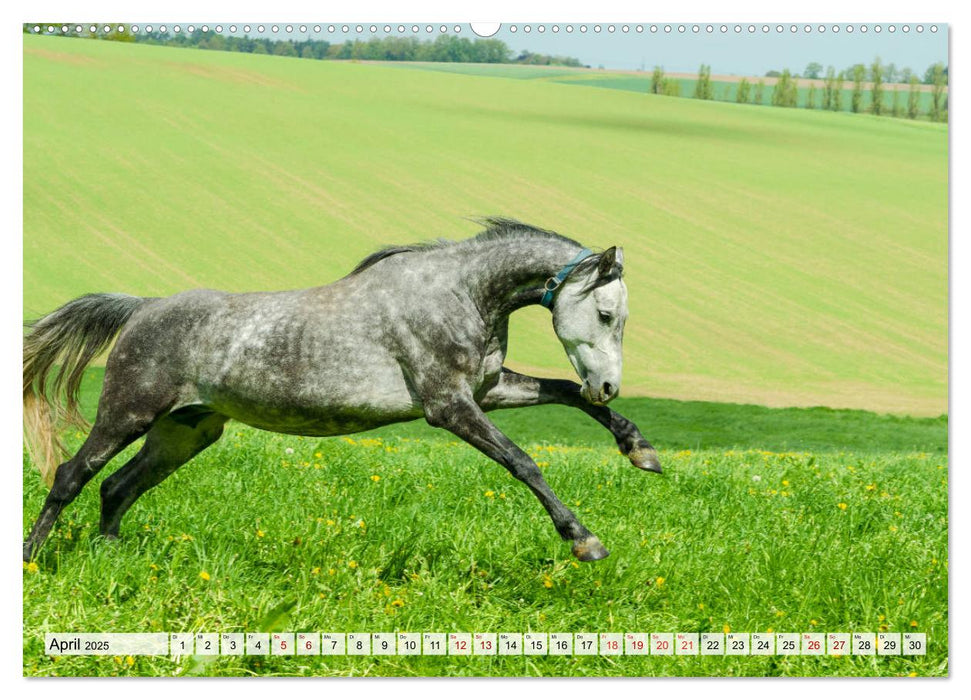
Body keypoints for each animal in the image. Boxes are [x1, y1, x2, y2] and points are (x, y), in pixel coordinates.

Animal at [20, 219, 660, 564]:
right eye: (606, 314)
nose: (608, 385)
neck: (462, 293)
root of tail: (144, 309)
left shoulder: (488, 390)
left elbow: (564, 393)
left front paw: (640, 450)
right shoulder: (449, 406)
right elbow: (523, 462)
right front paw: (584, 542)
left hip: (185, 432)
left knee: (117, 487)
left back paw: (109, 554)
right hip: (126, 414)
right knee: (72, 475)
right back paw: (31, 559)